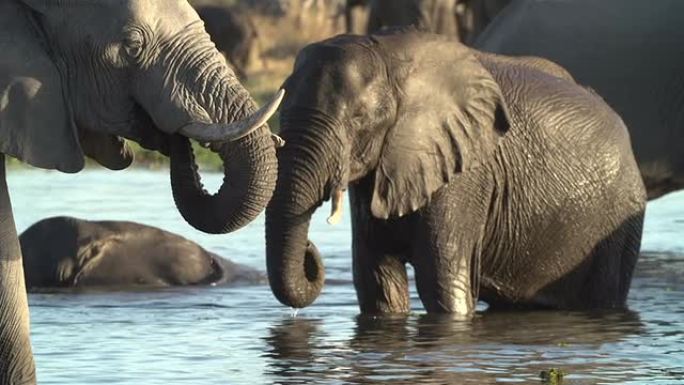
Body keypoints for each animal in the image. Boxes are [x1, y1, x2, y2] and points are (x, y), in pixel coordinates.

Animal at [264, 29, 648, 316]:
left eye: (359, 118)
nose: (310, 250)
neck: (390, 54)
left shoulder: (466, 173)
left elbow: (442, 282)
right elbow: (378, 282)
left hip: (620, 219)